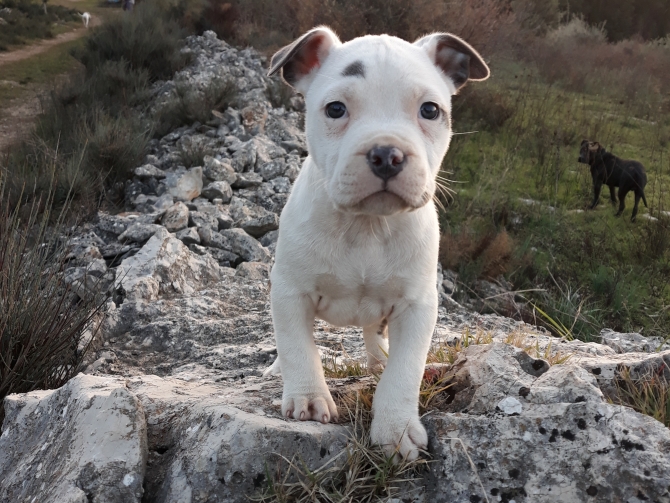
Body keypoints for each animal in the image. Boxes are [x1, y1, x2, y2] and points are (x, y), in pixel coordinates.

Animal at [266, 27, 490, 460]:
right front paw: (307, 397)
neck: (366, 225)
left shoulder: (417, 306)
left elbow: (406, 370)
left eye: (430, 110)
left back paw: (377, 358)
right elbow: (298, 346)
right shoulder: (290, 292)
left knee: (374, 335)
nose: (387, 154)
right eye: (335, 109)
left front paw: (396, 428)